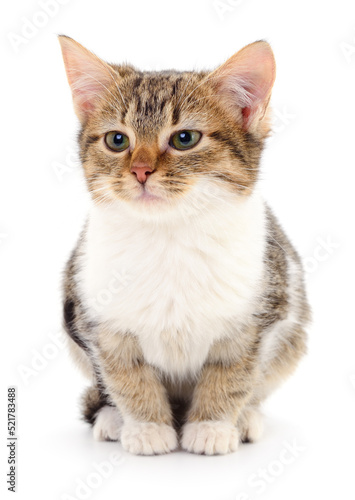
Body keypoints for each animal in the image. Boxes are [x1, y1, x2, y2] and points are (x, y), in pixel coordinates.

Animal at [59, 35, 312, 456]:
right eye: (117, 140)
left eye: (184, 139)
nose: (140, 170)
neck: (168, 234)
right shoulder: (98, 319)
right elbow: (125, 374)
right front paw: (146, 426)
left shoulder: (258, 317)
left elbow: (233, 373)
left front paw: (212, 425)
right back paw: (112, 418)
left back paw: (247, 417)